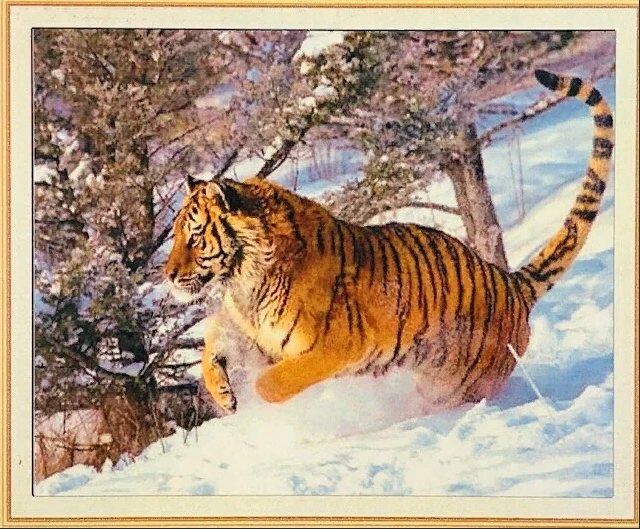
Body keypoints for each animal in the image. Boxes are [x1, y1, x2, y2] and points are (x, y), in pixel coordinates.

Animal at [164, 69, 613, 415]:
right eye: (176, 235)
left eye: (195, 235)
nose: (167, 275)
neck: (244, 279)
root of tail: (511, 283)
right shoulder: (245, 326)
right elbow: (211, 346)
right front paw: (225, 395)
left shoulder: (335, 345)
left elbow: (272, 383)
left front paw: (258, 400)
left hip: (458, 383)